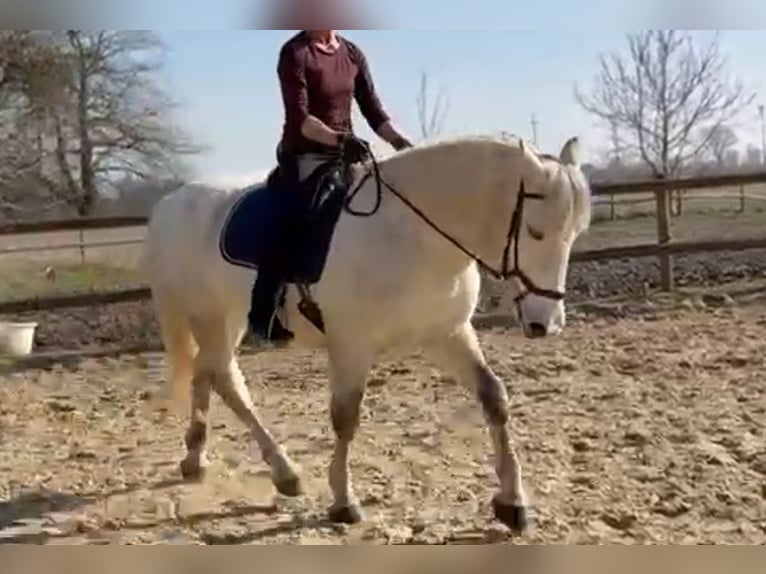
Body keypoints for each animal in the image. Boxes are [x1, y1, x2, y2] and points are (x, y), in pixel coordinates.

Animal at [143, 133, 591, 534]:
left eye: (575, 233)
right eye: (534, 231)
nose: (546, 323)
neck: (413, 235)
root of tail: (169, 203)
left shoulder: (447, 334)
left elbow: (493, 397)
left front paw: (512, 503)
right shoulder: (352, 346)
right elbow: (346, 418)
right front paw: (344, 502)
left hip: (226, 318)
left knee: (210, 374)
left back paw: (200, 460)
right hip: (208, 316)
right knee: (225, 379)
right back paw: (283, 471)